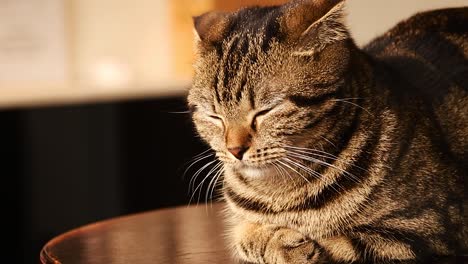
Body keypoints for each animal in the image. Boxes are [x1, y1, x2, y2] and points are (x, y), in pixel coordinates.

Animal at [187, 0, 468, 262]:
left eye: (267, 110)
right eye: (213, 115)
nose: (235, 150)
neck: (278, 197)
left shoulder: (429, 228)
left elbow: (340, 245)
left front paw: (287, 244)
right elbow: (242, 235)